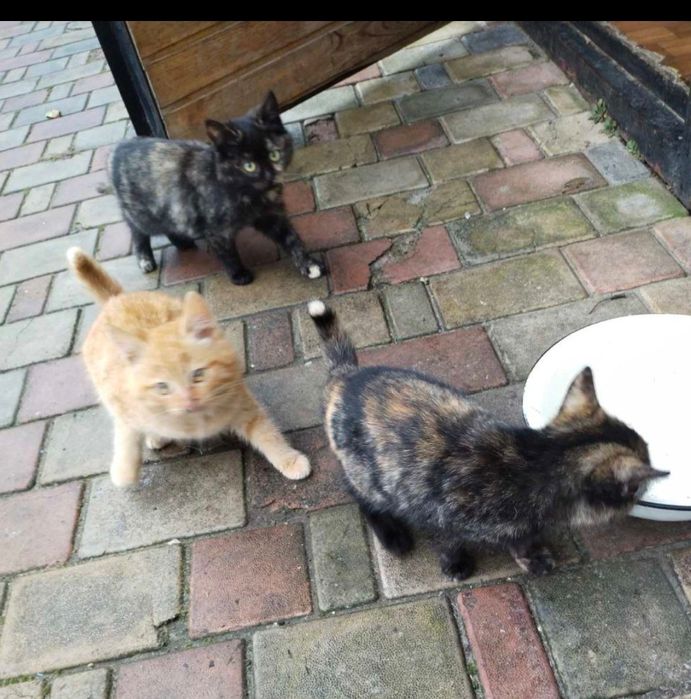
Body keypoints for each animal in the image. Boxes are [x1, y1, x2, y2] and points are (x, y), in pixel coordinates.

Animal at [66, 247, 311, 487]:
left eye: (198, 375)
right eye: (162, 387)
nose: (189, 402)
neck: (195, 421)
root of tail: (116, 299)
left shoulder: (240, 401)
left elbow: (265, 431)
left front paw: (288, 458)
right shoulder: (123, 404)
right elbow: (126, 436)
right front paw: (124, 472)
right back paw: (155, 436)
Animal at [108, 90, 325, 285]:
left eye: (274, 155)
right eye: (249, 166)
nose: (269, 176)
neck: (249, 194)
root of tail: (119, 148)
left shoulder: (271, 215)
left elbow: (291, 238)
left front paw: (309, 264)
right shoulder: (216, 230)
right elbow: (227, 252)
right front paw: (238, 275)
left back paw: (183, 243)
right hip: (144, 216)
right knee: (136, 229)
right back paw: (145, 258)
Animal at [307, 300, 668, 579]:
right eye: (638, 485)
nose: (652, 479)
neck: (535, 461)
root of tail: (347, 375)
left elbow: (519, 538)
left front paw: (530, 555)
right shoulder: (442, 514)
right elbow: (450, 541)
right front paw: (456, 565)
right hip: (369, 473)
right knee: (358, 492)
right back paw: (392, 535)